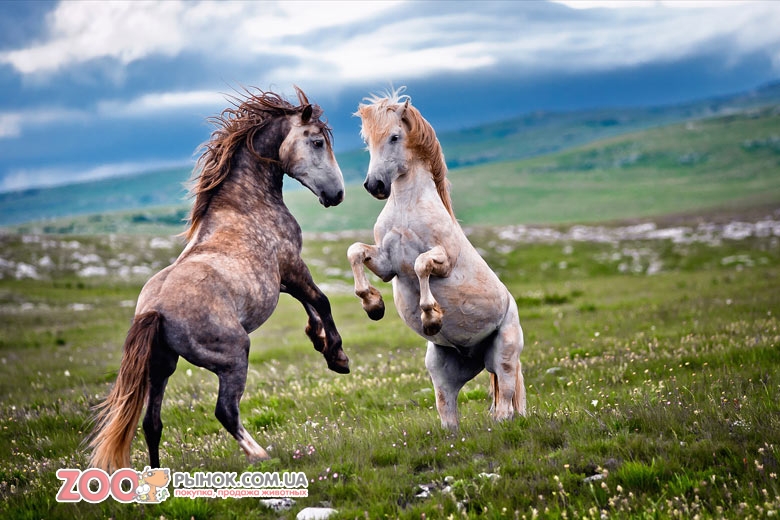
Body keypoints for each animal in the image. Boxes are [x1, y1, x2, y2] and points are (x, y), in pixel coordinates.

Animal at [88, 86, 348, 472]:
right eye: (317, 141)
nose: (337, 194)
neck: (244, 205)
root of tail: (155, 311)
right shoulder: (291, 266)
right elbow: (321, 301)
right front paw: (337, 356)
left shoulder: (283, 279)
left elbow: (311, 306)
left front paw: (318, 341)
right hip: (233, 356)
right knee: (225, 411)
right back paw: (261, 455)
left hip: (161, 368)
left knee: (152, 423)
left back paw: (157, 476)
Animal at [346, 89, 524, 428]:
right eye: (367, 142)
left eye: (394, 136)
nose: (374, 186)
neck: (406, 208)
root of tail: (473, 355)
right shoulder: (386, 266)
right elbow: (355, 252)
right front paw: (373, 305)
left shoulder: (444, 260)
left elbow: (421, 265)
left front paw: (431, 317)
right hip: (442, 370)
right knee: (448, 412)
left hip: (504, 358)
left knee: (506, 406)